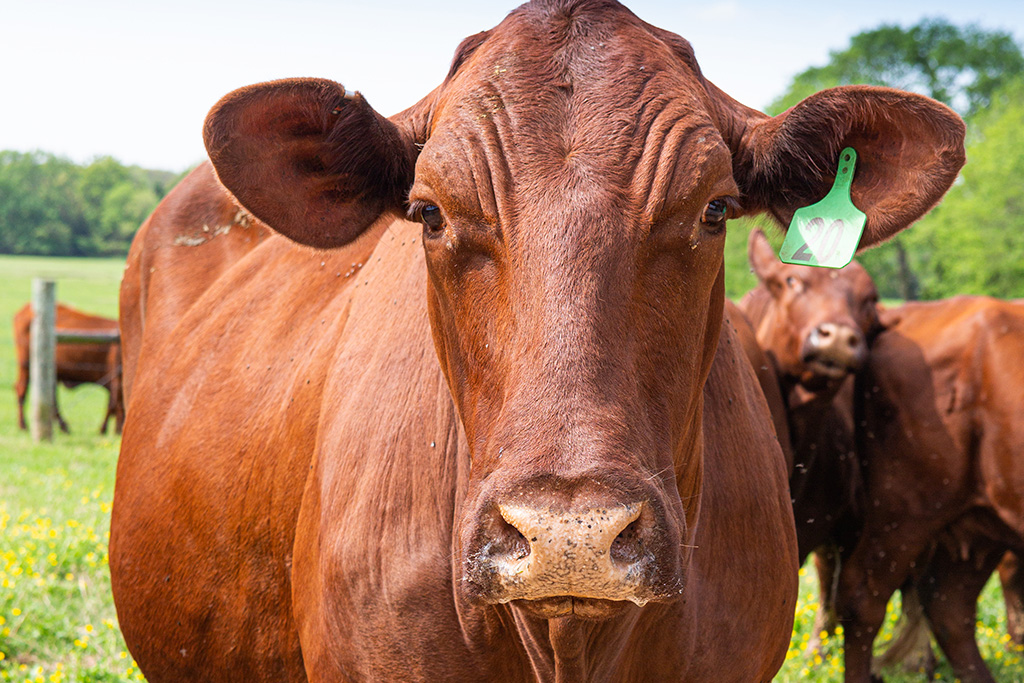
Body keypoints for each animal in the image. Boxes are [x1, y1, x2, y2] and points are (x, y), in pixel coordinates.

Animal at [13, 302, 124, 435]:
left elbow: (114, 405)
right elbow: (115, 405)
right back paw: (23, 425)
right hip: (25, 365)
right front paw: (110, 430)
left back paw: (63, 426)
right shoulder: (116, 379)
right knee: (22, 390)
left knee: (52, 400)